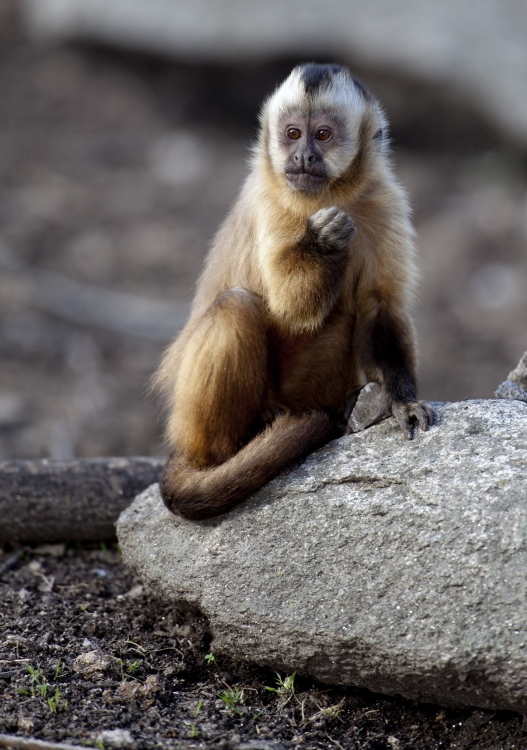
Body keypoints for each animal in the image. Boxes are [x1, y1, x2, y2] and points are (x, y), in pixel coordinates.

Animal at [153, 63, 434, 524]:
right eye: (291, 134)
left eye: (322, 135)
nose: (302, 156)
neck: (331, 196)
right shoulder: (273, 201)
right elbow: (290, 303)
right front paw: (325, 243)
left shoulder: (384, 201)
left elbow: (380, 306)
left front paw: (401, 399)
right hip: (194, 425)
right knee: (236, 306)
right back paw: (236, 452)